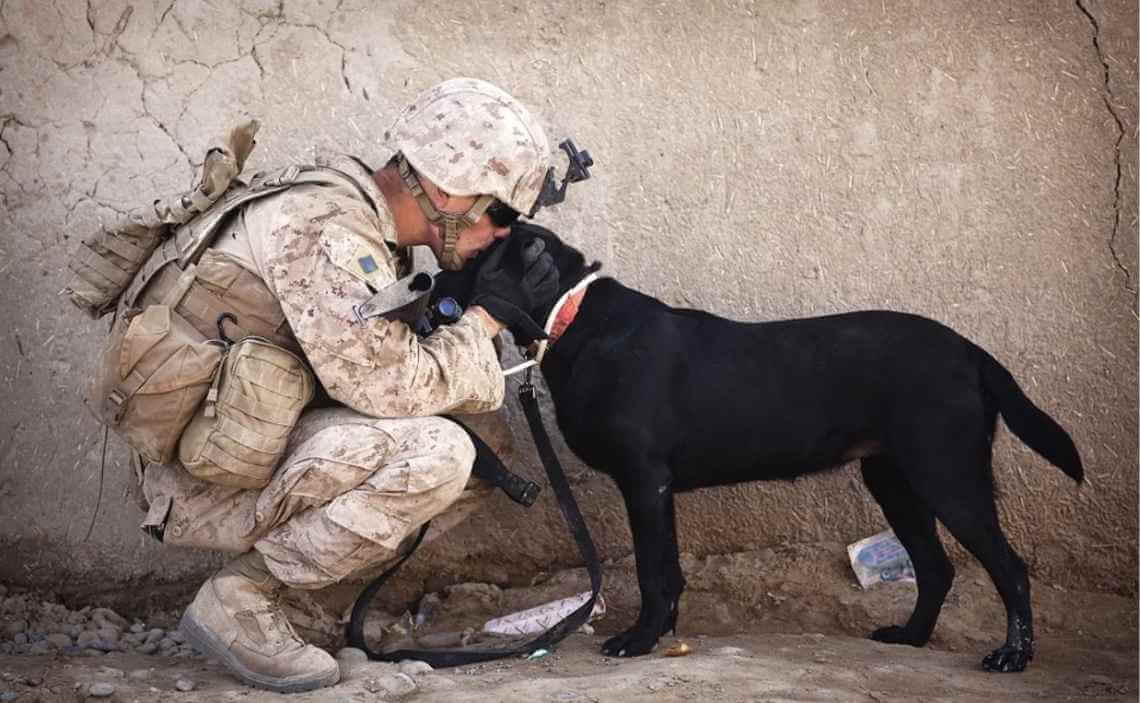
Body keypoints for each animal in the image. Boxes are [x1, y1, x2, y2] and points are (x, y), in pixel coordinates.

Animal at [430, 223, 1080, 669]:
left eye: (474, 258)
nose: (425, 280)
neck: (575, 317)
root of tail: (971, 351)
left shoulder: (644, 481)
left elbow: (651, 571)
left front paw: (639, 639)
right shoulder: (657, 489)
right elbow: (669, 570)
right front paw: (663, 634)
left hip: (947, 474)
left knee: (1008, 568)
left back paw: (1012, 656)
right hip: (894, 479)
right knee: (937, 567)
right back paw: (912, 637)